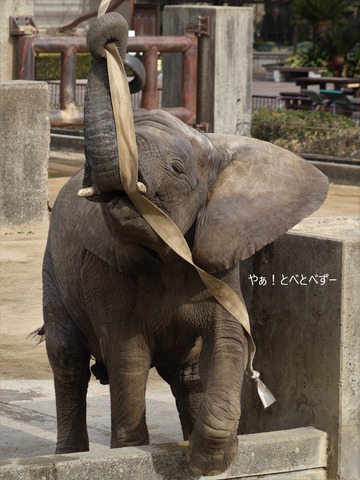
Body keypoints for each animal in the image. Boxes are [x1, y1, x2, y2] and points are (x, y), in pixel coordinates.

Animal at [40, 11, 330, 476]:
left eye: (177, 169)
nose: (114, 41)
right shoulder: (107, 274)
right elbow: (128, 355)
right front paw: (131, 453)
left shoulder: (220, 258)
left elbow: (230, 341)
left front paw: (211, 460)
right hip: (53, 272)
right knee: (67, 362)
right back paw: (70, 457)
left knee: (189, 374)